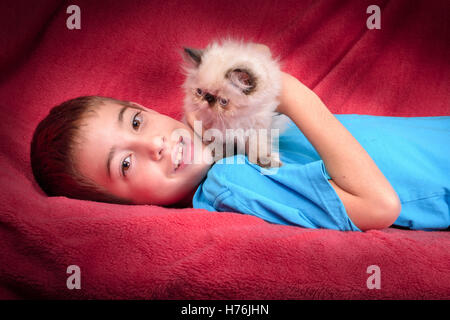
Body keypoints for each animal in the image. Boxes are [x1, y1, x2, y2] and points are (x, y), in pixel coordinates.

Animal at [180, 39, 288, 168]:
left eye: (223, 101)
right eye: (199, 92)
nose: (208, 98)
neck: (234, 120)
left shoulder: (257, 129)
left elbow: (257, 148)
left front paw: (265, 161)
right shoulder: (214, 133)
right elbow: (219, 149)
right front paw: (220, 159)